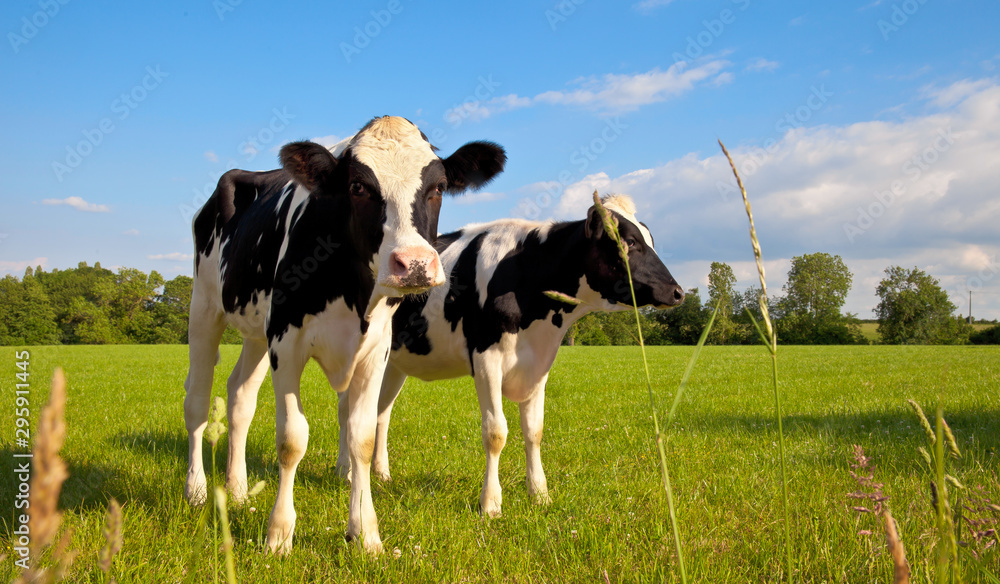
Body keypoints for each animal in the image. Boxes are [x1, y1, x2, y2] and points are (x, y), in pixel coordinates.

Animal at [184, 115, 508, 556]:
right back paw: (197, 490)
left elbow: (362, 438)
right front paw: (278, 535)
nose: (414, 265)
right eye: (358, 186)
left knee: (240, 397)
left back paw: (235, 489)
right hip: (204, 307)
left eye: (438, 187)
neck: (352, 290)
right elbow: (291, 439)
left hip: (255, 332)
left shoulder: (376, 349)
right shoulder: (286, 341)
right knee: (198, 402)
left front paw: (366, 533)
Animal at [340, 195, 684, 516]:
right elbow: (496, 432)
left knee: (382, 412)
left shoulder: (540, 363)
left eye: (649, 239)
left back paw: (382, 473)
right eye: (629, 241)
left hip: (393, 362)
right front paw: (490, 503)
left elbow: (534, 430)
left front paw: (540, 494)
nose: (678, 292)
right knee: (346, 409)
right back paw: (345, 472)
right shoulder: (486, 359)